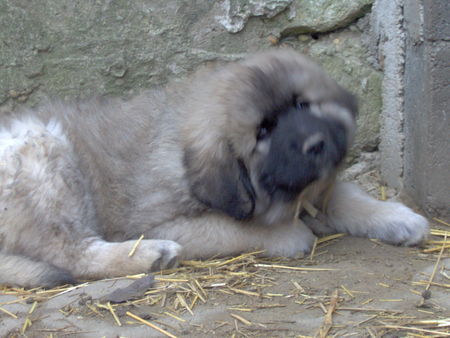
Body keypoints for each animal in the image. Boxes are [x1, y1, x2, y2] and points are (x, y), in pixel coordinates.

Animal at [0, 50, 428, 288]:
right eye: (262, 132)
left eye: (301, 105)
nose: (317, 144)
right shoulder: (167, 221)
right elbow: (239, 227)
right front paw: (289, 233)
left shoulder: (314, 188)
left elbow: (346, 196)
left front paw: (398, 217)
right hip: (42, 149)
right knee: (70, 252)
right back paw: (151, 254)